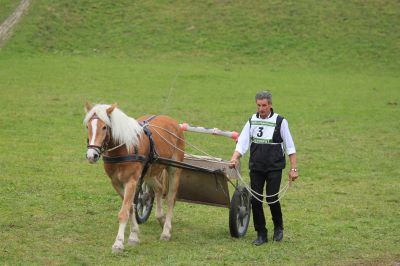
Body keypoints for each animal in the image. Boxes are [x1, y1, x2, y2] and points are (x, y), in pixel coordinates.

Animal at [84, 102, 186, 254]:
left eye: (104, 127)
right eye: (88, 126)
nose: (92, 155)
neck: (124, 147)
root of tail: (172, 122)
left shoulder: (131, 181)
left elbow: (124, 212)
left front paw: (118, 243)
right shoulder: (116, 183)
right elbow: (131, 207)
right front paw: (133, 236)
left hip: (174, 169)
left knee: (170, 199)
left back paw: (166, 231)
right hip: (149, 172)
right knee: (159, 189)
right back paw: (161, 219)